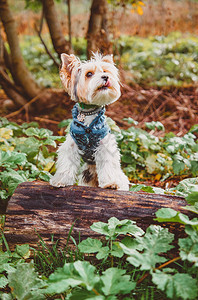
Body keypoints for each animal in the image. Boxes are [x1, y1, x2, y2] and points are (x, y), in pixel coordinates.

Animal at [50, 52, 129, 191]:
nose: (106, 76)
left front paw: (110, 183)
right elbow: (66, 163)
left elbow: (108, 164)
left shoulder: (104, 144)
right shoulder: (71, 144)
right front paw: (60, 180)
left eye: (105, 71)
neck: (88, 113)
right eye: (89, 74)